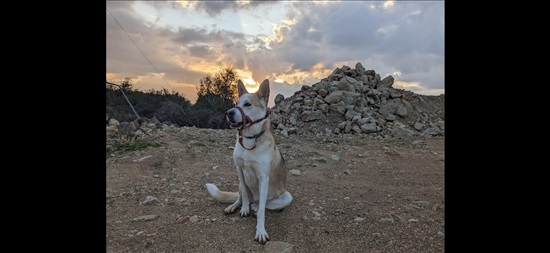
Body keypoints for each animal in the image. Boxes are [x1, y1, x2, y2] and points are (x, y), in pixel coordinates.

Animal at [206, 79, 294, 245]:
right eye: (236, 103)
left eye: (247, 104)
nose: (229, 113)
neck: (249, 139)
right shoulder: (239, 170)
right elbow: (245, 196)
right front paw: (244, 209)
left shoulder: (263, 178)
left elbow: (262, 211)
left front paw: (260, 231)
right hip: (240, 184)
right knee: (240, 196)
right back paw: (235, 206)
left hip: (286, 196)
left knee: (264, 204)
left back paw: (255, 206)